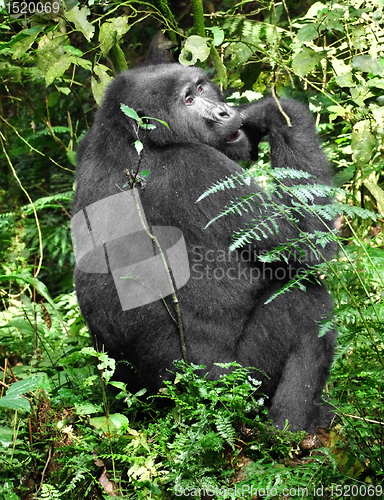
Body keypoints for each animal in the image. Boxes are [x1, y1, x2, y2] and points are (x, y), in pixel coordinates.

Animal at [73, 62, 336, 432]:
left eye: (200, 88)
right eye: (188, 100)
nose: (224, 112)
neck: (133, 136)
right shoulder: (197, 167)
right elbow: (312, 243)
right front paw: (274, 112)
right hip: (235, 389)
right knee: (305, 300)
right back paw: (292, 426)